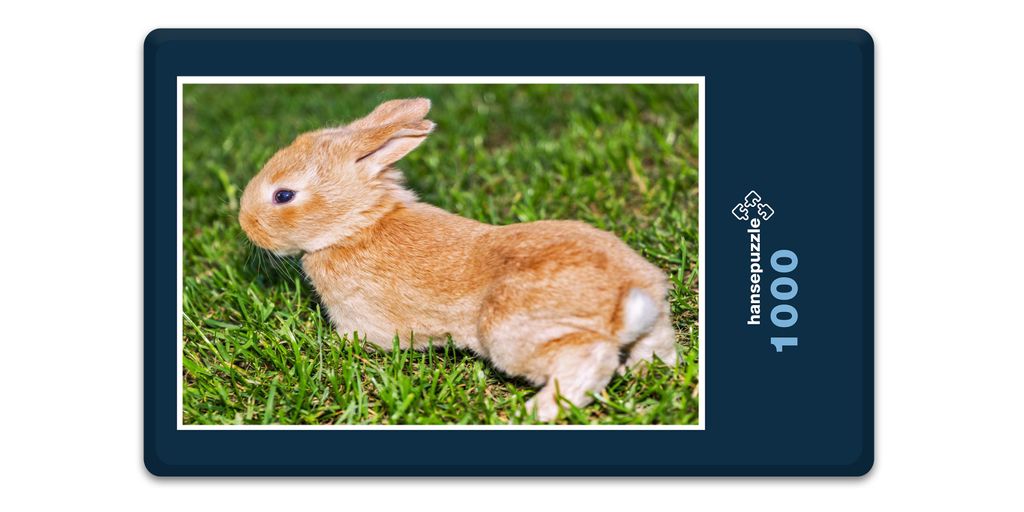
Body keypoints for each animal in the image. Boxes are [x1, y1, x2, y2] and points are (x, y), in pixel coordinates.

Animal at [238, 98, 679, 421]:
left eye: (283, 195)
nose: (245, 223)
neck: (357, 225)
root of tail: (629, 296)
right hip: (651, 324)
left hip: (510, 334)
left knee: (587, 362)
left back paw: (534, 411)